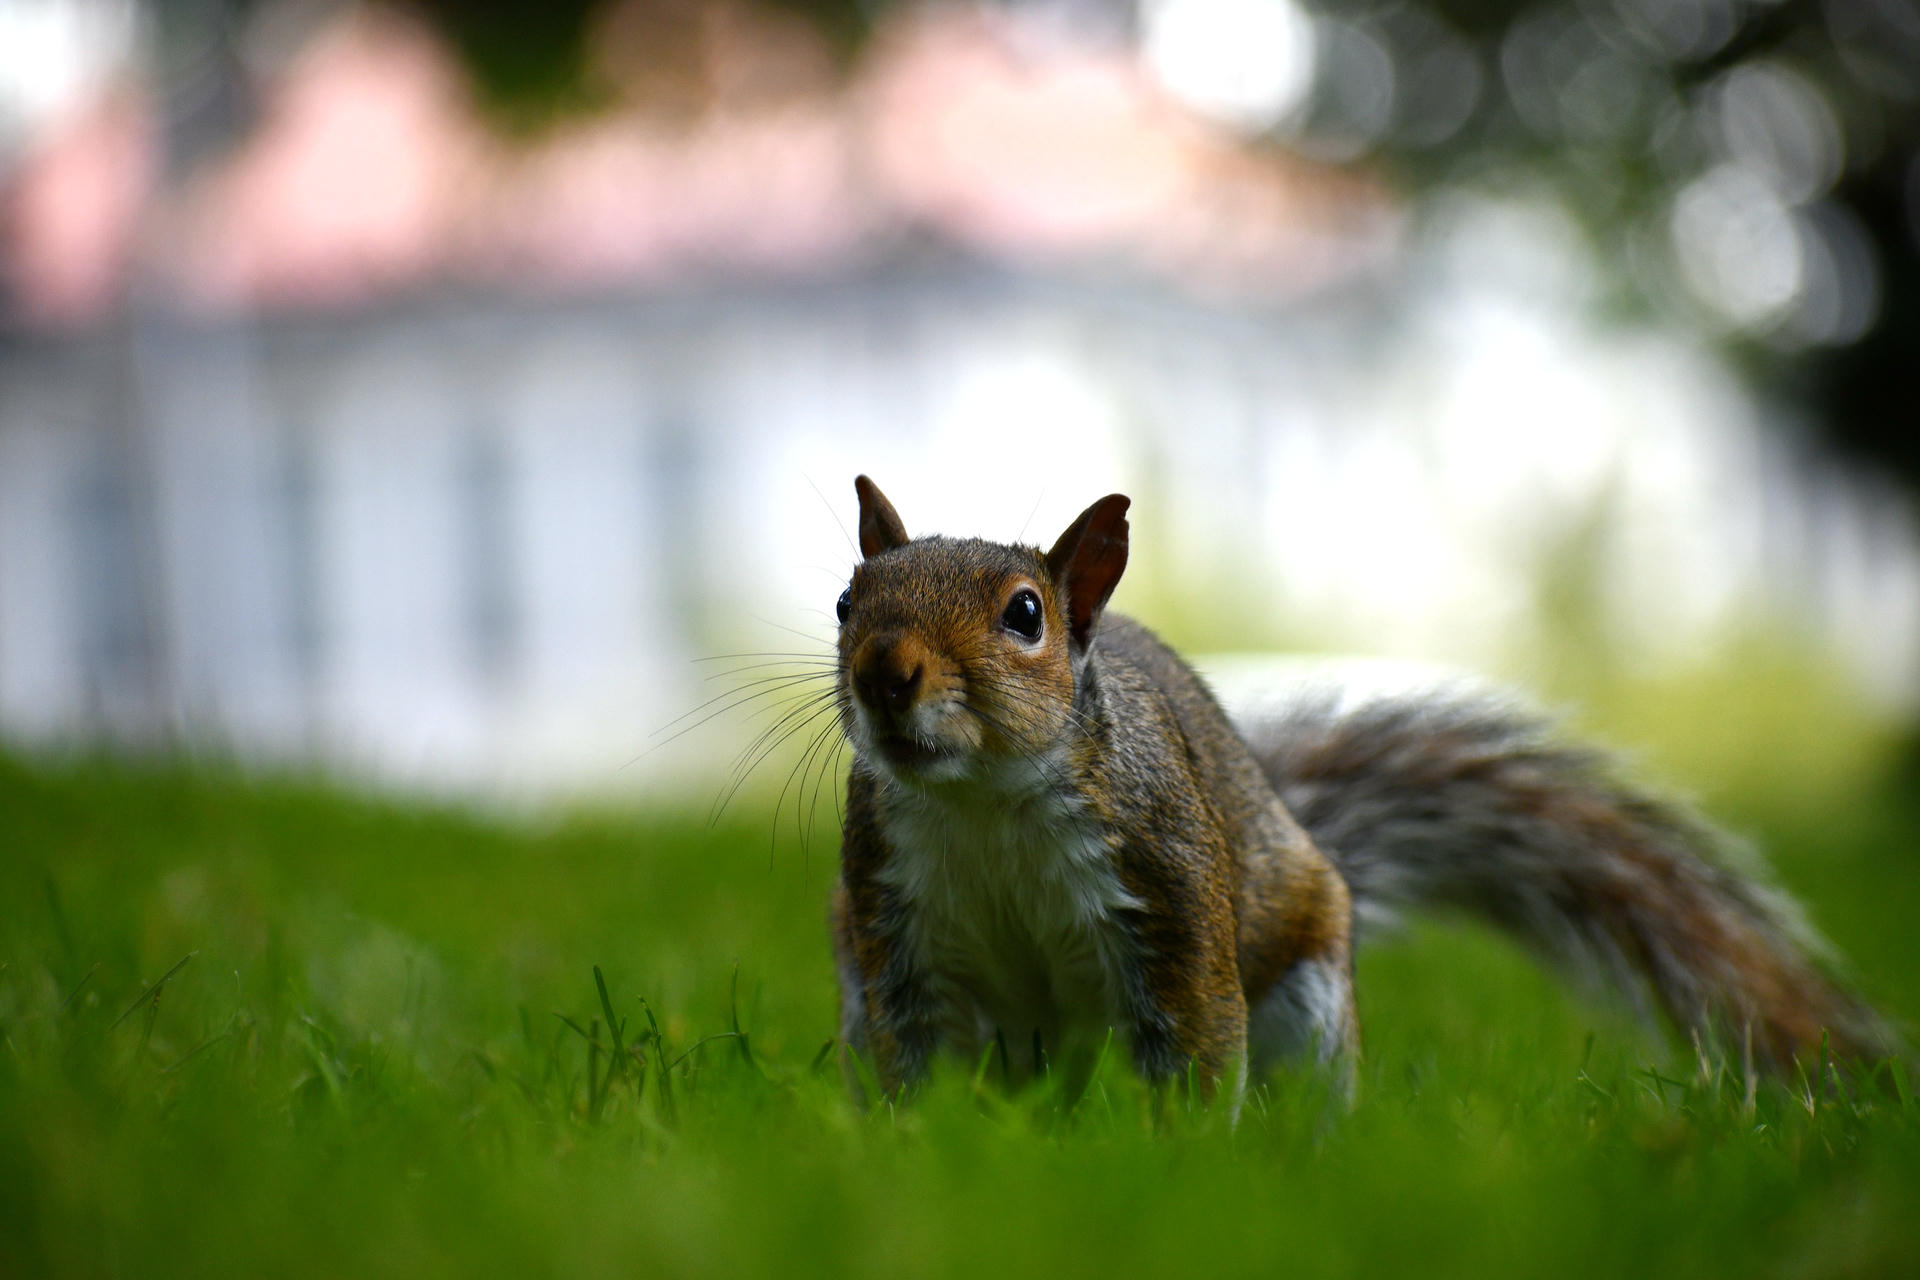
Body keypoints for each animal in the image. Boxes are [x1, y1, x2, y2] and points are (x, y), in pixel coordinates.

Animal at [827, 476, 1893, 1107]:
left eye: (1025, 615)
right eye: (845, 602)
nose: (884, 672)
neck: (984, 802)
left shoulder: (1167, 889)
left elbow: (1197, 1040)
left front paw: (1181, 1169)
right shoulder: (893, 922)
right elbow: (910, 1056)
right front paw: (916, 1146)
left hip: (1306, 1000)